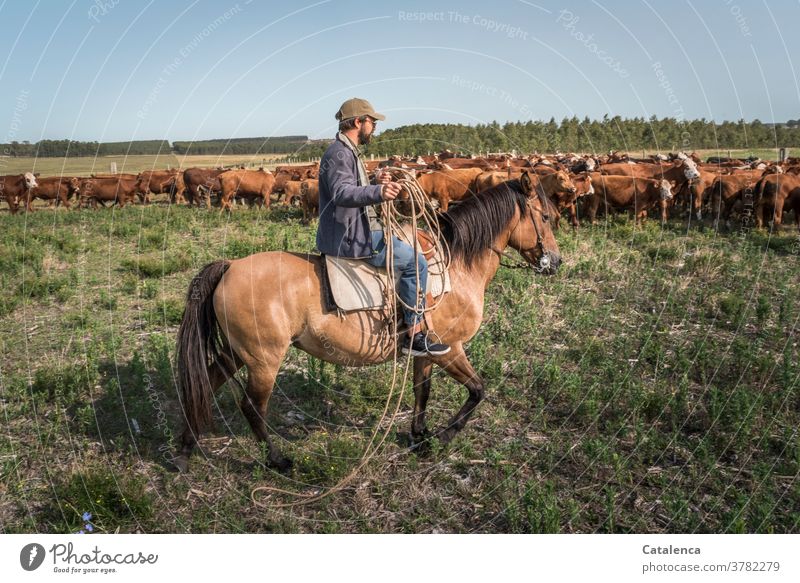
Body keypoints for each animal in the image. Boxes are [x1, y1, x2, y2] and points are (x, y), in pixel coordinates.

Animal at [175, 170, 564, 474]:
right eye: (545, 217)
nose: (556, 261)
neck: (456, 264)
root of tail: (230, 267)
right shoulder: (451, 348)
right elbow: (478, 390)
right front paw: (445, 435)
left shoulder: (428, 351)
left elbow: (422, 391)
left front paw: (420, 436)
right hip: (263, 360)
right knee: (252, 407)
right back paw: (277, 460)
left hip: (238, 353)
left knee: (206, 382)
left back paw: (186, 447)